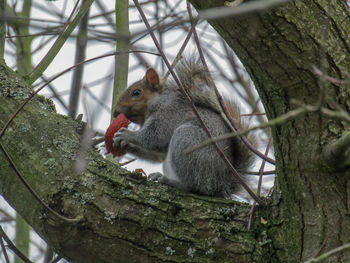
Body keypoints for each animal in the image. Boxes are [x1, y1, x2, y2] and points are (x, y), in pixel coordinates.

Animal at [113, 57, 253, 198]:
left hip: (187, 142)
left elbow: (153, 138)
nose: (115, 112)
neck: (157, 101)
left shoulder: (167, 114)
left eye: (136, 92)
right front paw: (126, 145)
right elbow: (158, 153)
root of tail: (220, 185)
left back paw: (170, 181)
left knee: (194, 186)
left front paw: (126, 134)